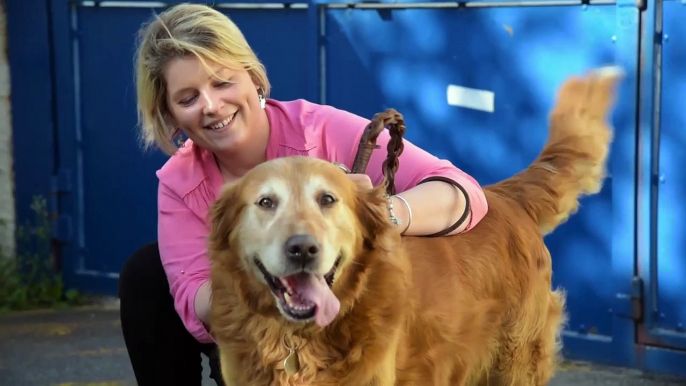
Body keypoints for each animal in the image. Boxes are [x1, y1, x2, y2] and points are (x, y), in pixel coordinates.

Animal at [207, 65, 628, 382]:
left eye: (328, 200)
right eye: (266, 202)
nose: (303, 249)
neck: (297, 337)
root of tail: (503, 195)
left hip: (513, 362)